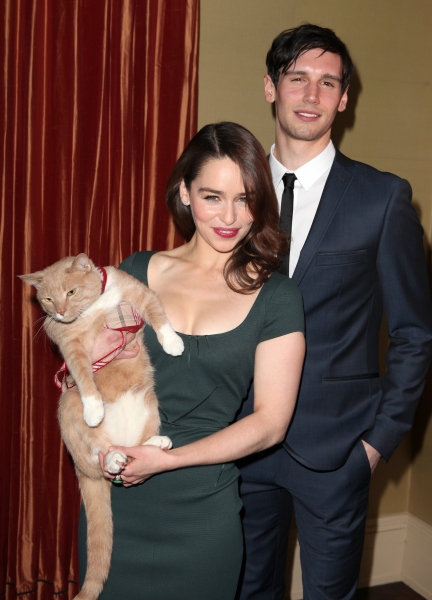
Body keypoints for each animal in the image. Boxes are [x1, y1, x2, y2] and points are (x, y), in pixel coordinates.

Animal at [20, 253, 182, 600]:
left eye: (70, 292)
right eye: (47, 299)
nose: (59, 312)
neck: (95, 309)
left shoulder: (139, 296)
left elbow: (159, 315)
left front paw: (173, 342)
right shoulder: (72, 348)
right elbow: (84, 378)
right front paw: (94, 408)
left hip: (150, 404)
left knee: (134, 447)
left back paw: (154, 444)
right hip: (68, 404)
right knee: (101, 452)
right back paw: (111, 456)